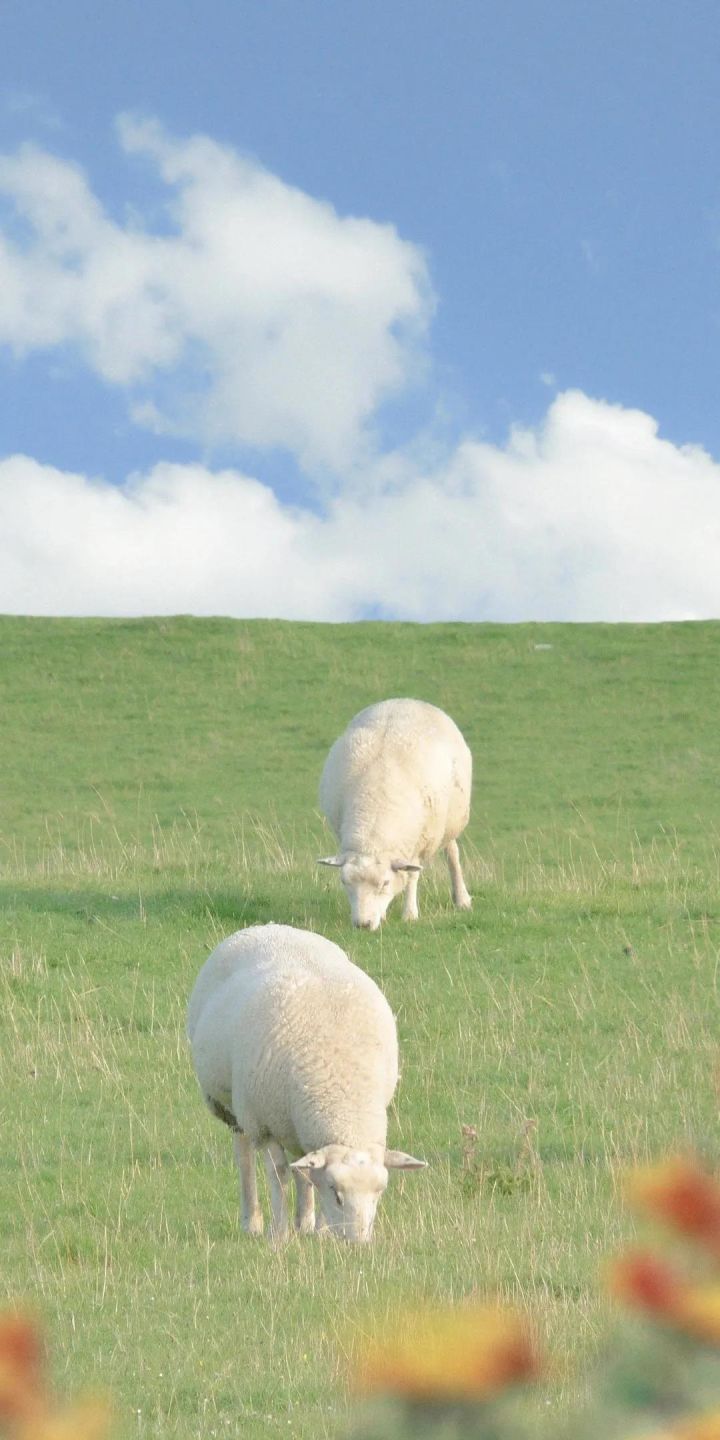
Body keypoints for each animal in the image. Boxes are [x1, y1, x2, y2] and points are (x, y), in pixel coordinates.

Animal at [187, 927, 426, 1244]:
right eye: (336, 1193)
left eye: (379, 1193)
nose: (359, 1243)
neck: (343, 1093)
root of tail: (267, 927)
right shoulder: (263, 1124)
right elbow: (278, 1175)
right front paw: (279, 1234)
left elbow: (308, 1174)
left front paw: (318, 1231)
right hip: (234, 1108)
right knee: (245, 1157)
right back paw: (252, 1221)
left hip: (292, 1123)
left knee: (301, 1166)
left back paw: (305, 1221)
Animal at [319, 699, 472, 927]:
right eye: (345, 882)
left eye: (384, 883)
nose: (363, 925)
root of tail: (407, 700)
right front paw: (382, 915)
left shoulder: (418, 843)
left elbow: (412, 877)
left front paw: (410, 914)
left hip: (450, 821)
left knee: (452, 853)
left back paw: (462, 899)